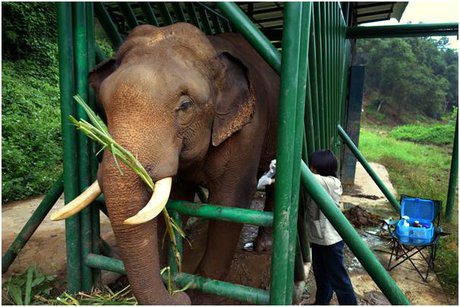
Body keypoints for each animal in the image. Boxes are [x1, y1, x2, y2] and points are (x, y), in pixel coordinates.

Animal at [53, 22, 280, 304]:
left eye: (185, 105)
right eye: (103, 105)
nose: (178, 297)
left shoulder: (247, 132)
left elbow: (230, 202)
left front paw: (199, 296)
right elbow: (172, 202)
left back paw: (261, 246)